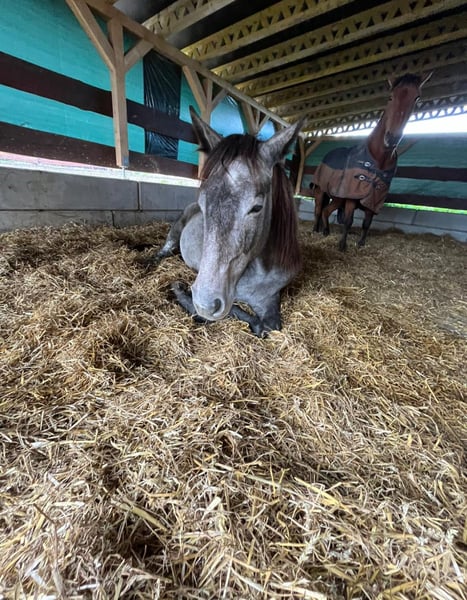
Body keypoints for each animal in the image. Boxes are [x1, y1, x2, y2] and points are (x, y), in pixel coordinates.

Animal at [147, 107, 303, 337]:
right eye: (202, 203)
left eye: (257, 207)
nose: (206, 303)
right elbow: (240, 314)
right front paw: (181, 292)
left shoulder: (270, 299)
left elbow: (268, 326)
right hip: (174, 233)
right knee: (164, 249)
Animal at [313, 72, 432, 251]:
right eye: (390, 97)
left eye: (416, 98)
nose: (392, 139)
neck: (377, 158)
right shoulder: (351, 196)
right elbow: (348, 221)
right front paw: (342, 246)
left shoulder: (373, 199)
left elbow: (366, 223)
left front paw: (361, 244)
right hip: (321, 190)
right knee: (319, 209)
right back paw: (315, 230)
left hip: (338, 197)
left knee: (326, 211)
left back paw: (326, 231)